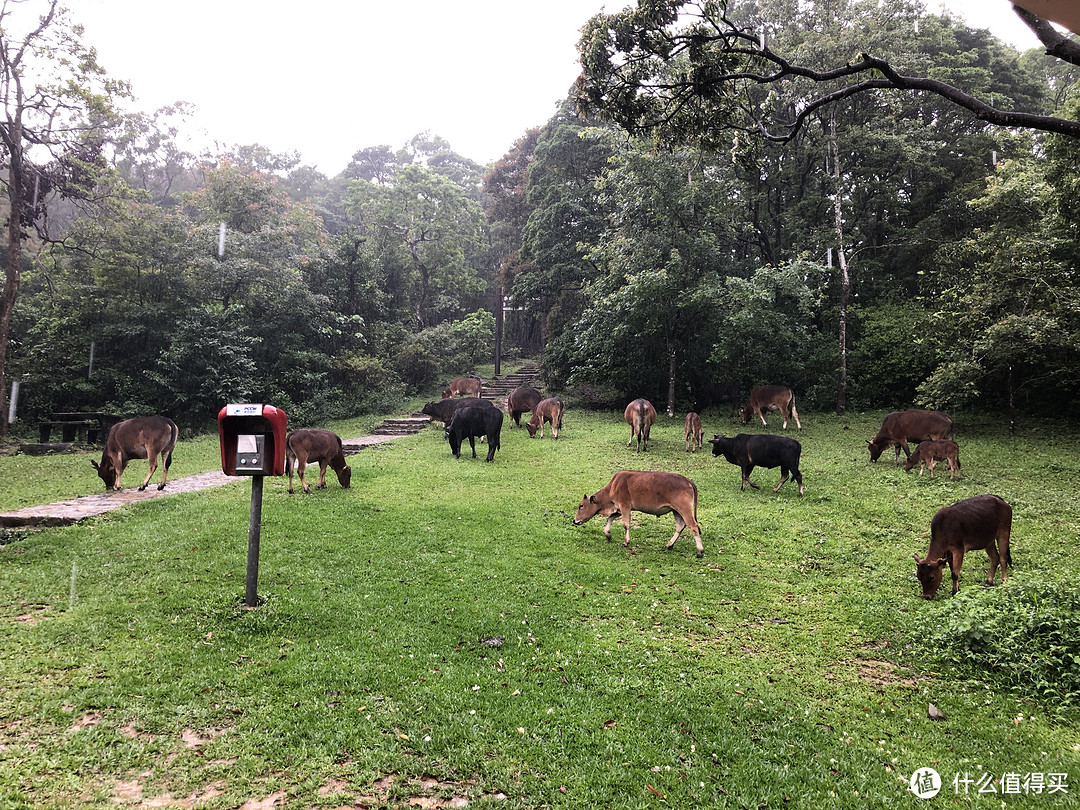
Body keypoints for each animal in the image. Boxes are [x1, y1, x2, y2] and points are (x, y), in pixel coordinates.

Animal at [570, 468, 704, 557]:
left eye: (581, 506)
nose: (575, 520)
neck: (613, 486)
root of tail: (688, 481)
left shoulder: (625, 506)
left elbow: (626, 524)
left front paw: (625, 542)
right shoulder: (619, 509)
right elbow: (610, 518)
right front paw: (608, 534)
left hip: (684, 509)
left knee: (693, 526)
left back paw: (700, 551)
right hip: (676, 511)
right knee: (680, 526)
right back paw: (669, 545)